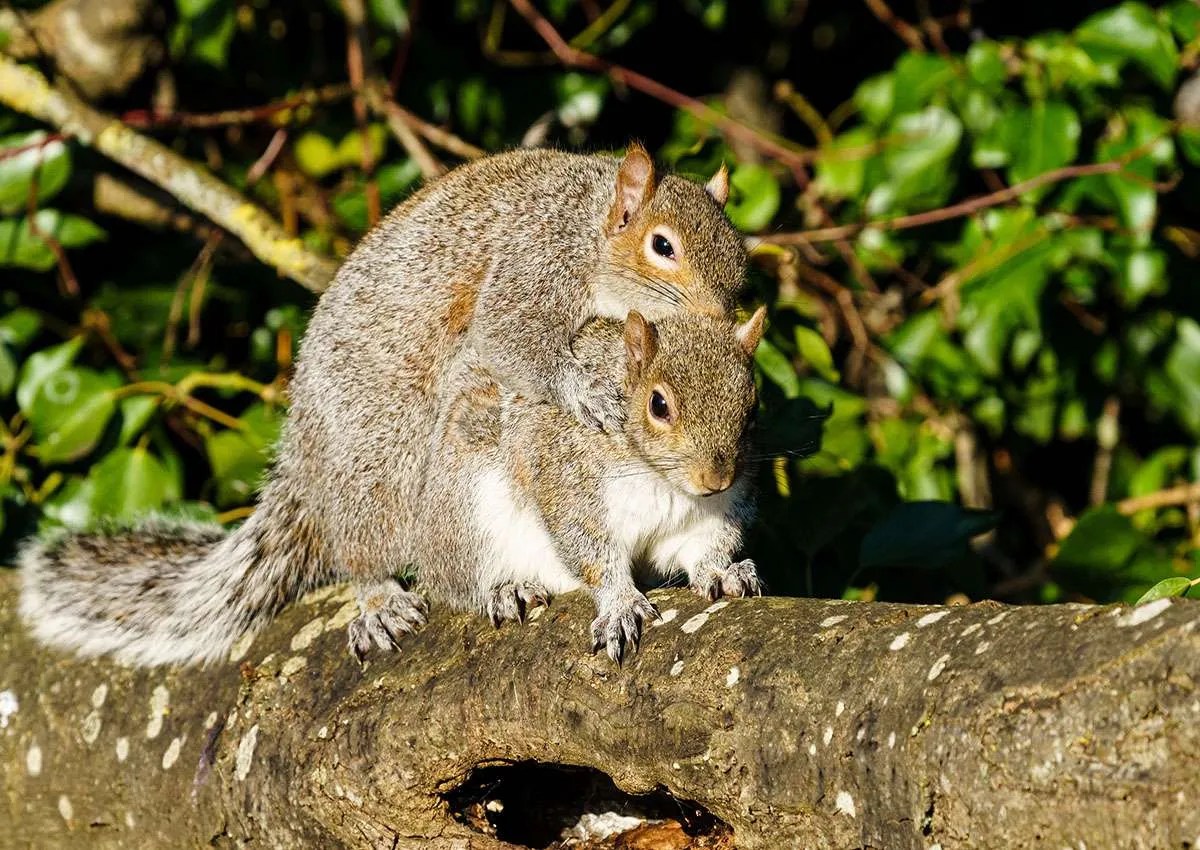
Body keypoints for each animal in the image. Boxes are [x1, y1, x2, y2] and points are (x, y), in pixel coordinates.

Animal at [414, 307, 766, 664]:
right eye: (658, 404)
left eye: (753, 408)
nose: (716, 480)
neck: (664, 482)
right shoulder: (572, 484)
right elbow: (592, 554)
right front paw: (621, 605)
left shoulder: (718, 509)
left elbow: (704, 543)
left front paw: (721, 571)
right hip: (468, 516)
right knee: (461, 583)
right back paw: (508, 589)